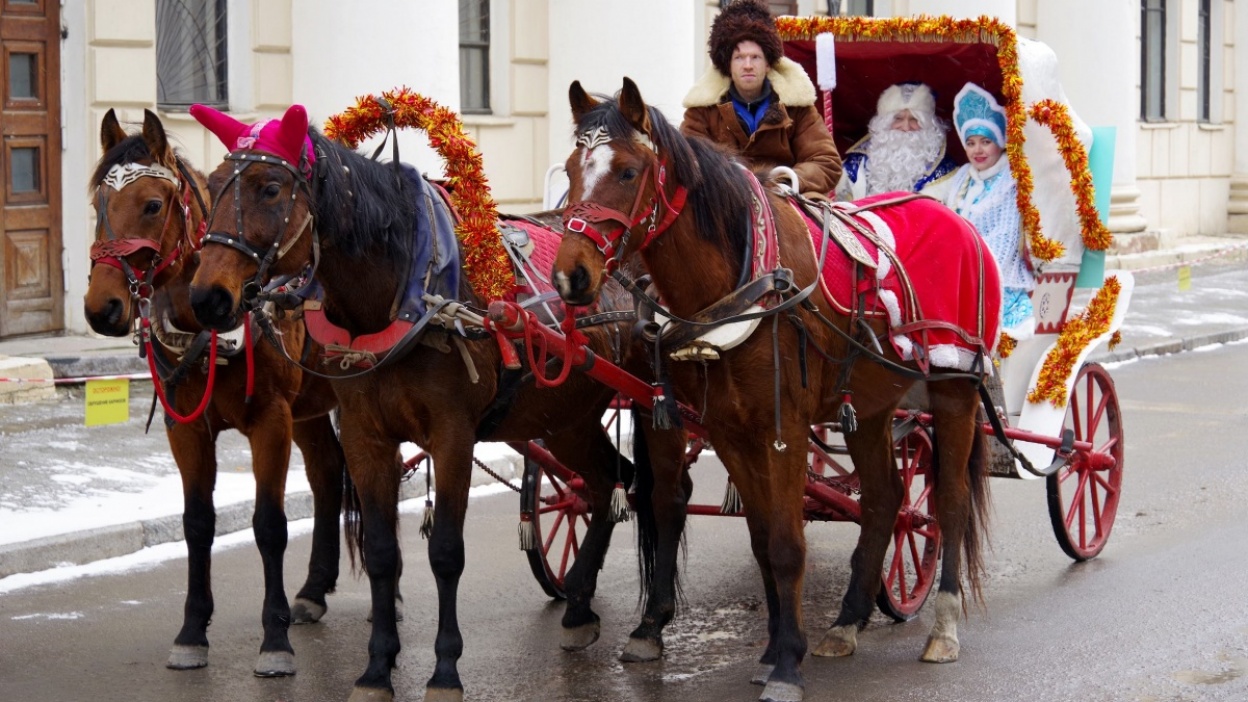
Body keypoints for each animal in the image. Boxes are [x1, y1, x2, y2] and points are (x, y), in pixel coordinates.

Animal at [84, 109, 348, 676]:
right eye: (98, 205)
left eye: (152, 205)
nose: (101, 308)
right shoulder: (185, 428)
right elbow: (197, 523)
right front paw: (191, 632)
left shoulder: (271, 420)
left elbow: (269, 524)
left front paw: (275, 640)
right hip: (312, 410)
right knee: (327, 475)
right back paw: (314, 590)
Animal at [182, 103, 691, 702]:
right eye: (214, 185)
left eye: (269, 187)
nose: (206, 297)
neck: (400, 296)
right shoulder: (365, 435)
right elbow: (382, 552)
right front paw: (377, 669)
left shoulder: (453, 435)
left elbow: (446, 552)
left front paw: (445, 670)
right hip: (567, 416)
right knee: (607, 481)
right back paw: (579, 606)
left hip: (652, 405)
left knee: (663, 492)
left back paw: (640, 622)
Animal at [551, 78, 997, 702]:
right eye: (572, 168)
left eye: (627, 170)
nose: (570, 277)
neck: (737, 283)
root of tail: (955, 219)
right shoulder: (730, 430)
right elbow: (762, 540)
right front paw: (773, 649)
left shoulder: (783, 430)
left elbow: (787, 546)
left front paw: (787, 664)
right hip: (873, 406)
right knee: (884, 500)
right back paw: (846, 622)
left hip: (955, 388)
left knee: (948, 504)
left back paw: (943, 629)